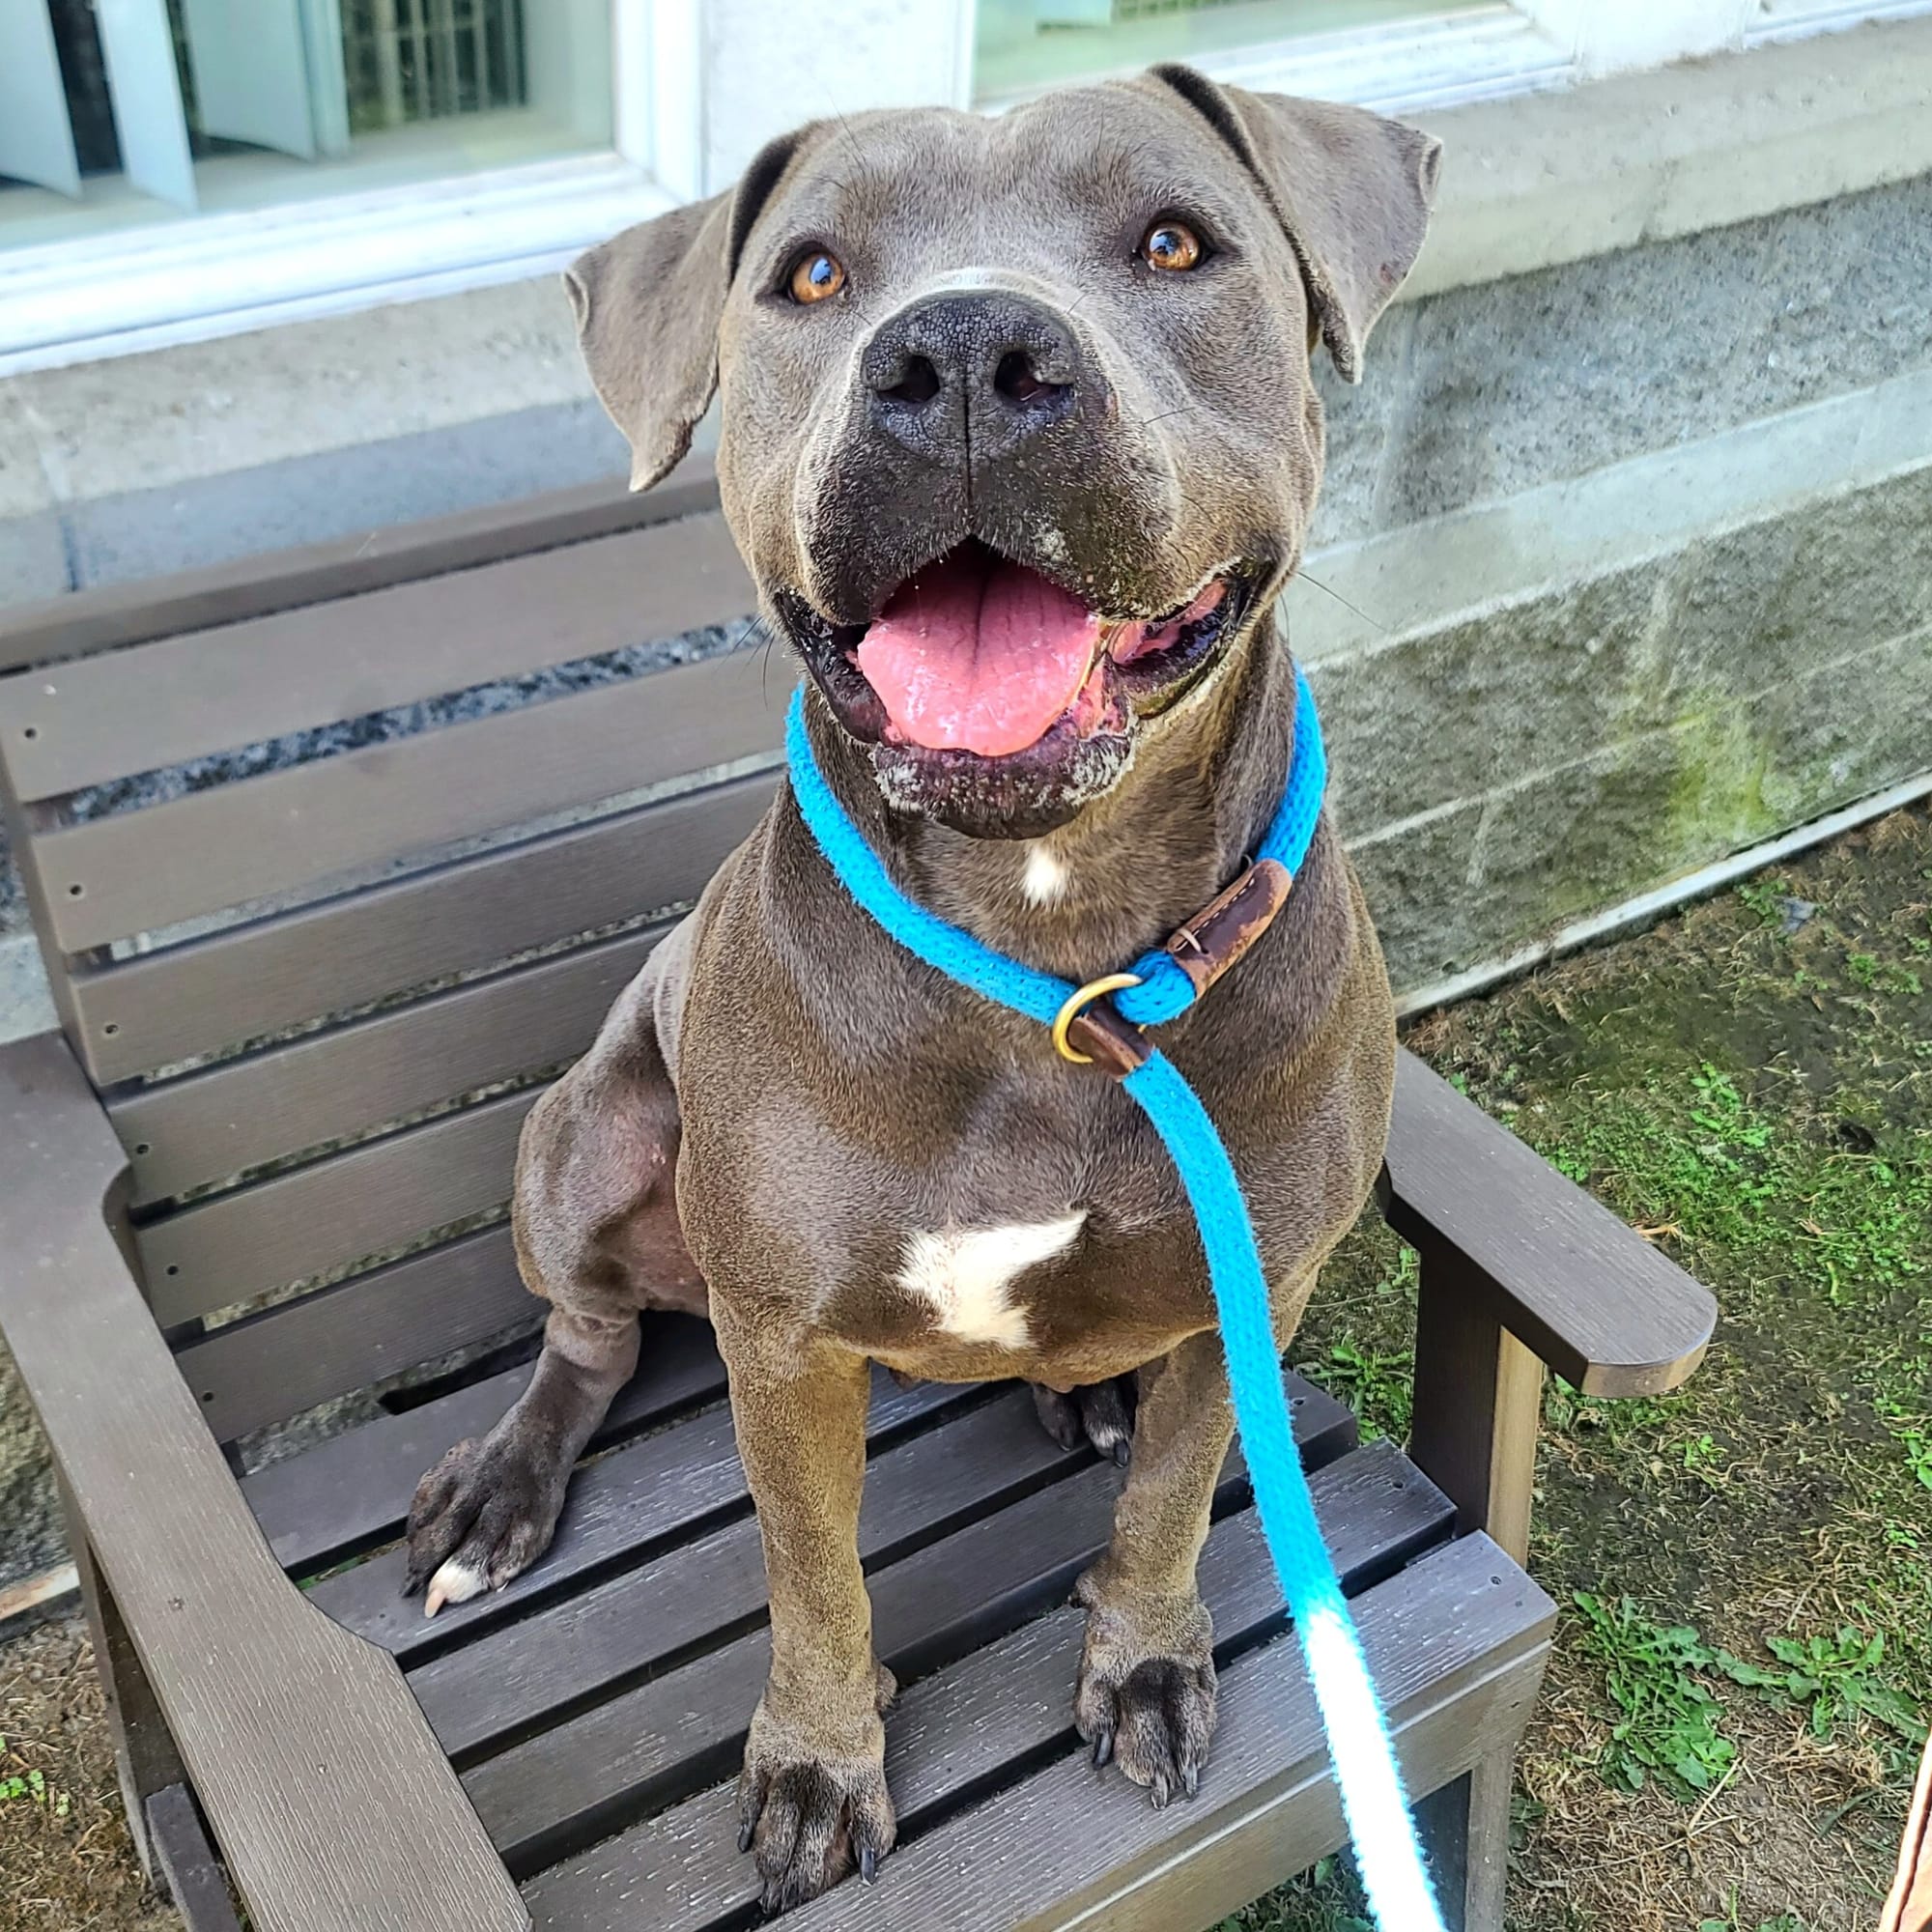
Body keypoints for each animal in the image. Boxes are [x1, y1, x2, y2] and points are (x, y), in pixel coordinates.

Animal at [404, 64, 1437, 1917]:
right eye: (810, 275)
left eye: (1176, 242)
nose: (961, 351)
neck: (1054, 964)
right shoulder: (787, 1343)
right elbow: (814, 1575)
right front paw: (822, 1761)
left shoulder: (1253, 1289)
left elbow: (1175, 1499)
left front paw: (1146, 1659)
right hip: (584, 1141)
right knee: (589, 1334)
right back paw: (500, 1490)